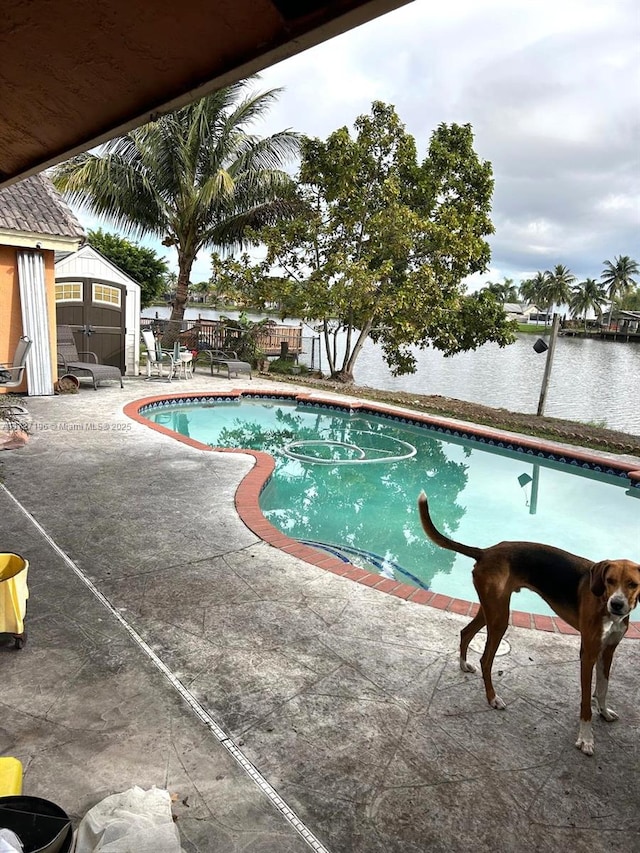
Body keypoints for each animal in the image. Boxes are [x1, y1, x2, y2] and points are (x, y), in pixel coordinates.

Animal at [418, 490, 636, 756]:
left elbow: (603, 688)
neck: (605, 606)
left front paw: (603, 712)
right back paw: (492, 698)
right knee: (485, 659)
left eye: (633, 584)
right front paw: (586, 739)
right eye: (609, 581)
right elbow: (586, 702)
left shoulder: (608, 651)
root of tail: (486, 551)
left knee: (465, 632)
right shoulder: (588, 654)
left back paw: (463, 664)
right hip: (499, 618)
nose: (617, 605)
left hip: (491, 610)